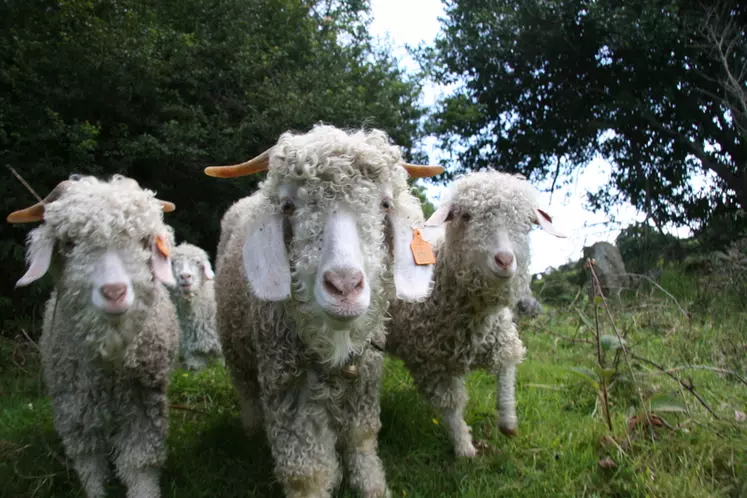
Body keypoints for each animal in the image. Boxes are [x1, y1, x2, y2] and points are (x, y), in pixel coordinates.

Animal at [8, 175, 180, 498]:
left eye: (143, 241)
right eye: (69, 243)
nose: (114, 292)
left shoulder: (142, 404)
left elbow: (139, 464)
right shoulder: (75, 409)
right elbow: (89, 464)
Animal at [206, 124, 444, 498]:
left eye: (384, 204)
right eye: (289, 206)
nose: (344, 287)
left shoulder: (365, 376)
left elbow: (361, 438)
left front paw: (372, 486)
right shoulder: (288, 382)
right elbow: (307, 472)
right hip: (235, 342)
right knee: (246, 389)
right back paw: (252, 430)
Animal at [386, 173, 568, 458]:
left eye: (528, 223)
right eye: (466, 216)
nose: (505, 260)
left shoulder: (499, 336)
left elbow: (506, 367)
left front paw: (508, 421)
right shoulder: (428, 362)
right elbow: (450, 405)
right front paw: (464, 448)